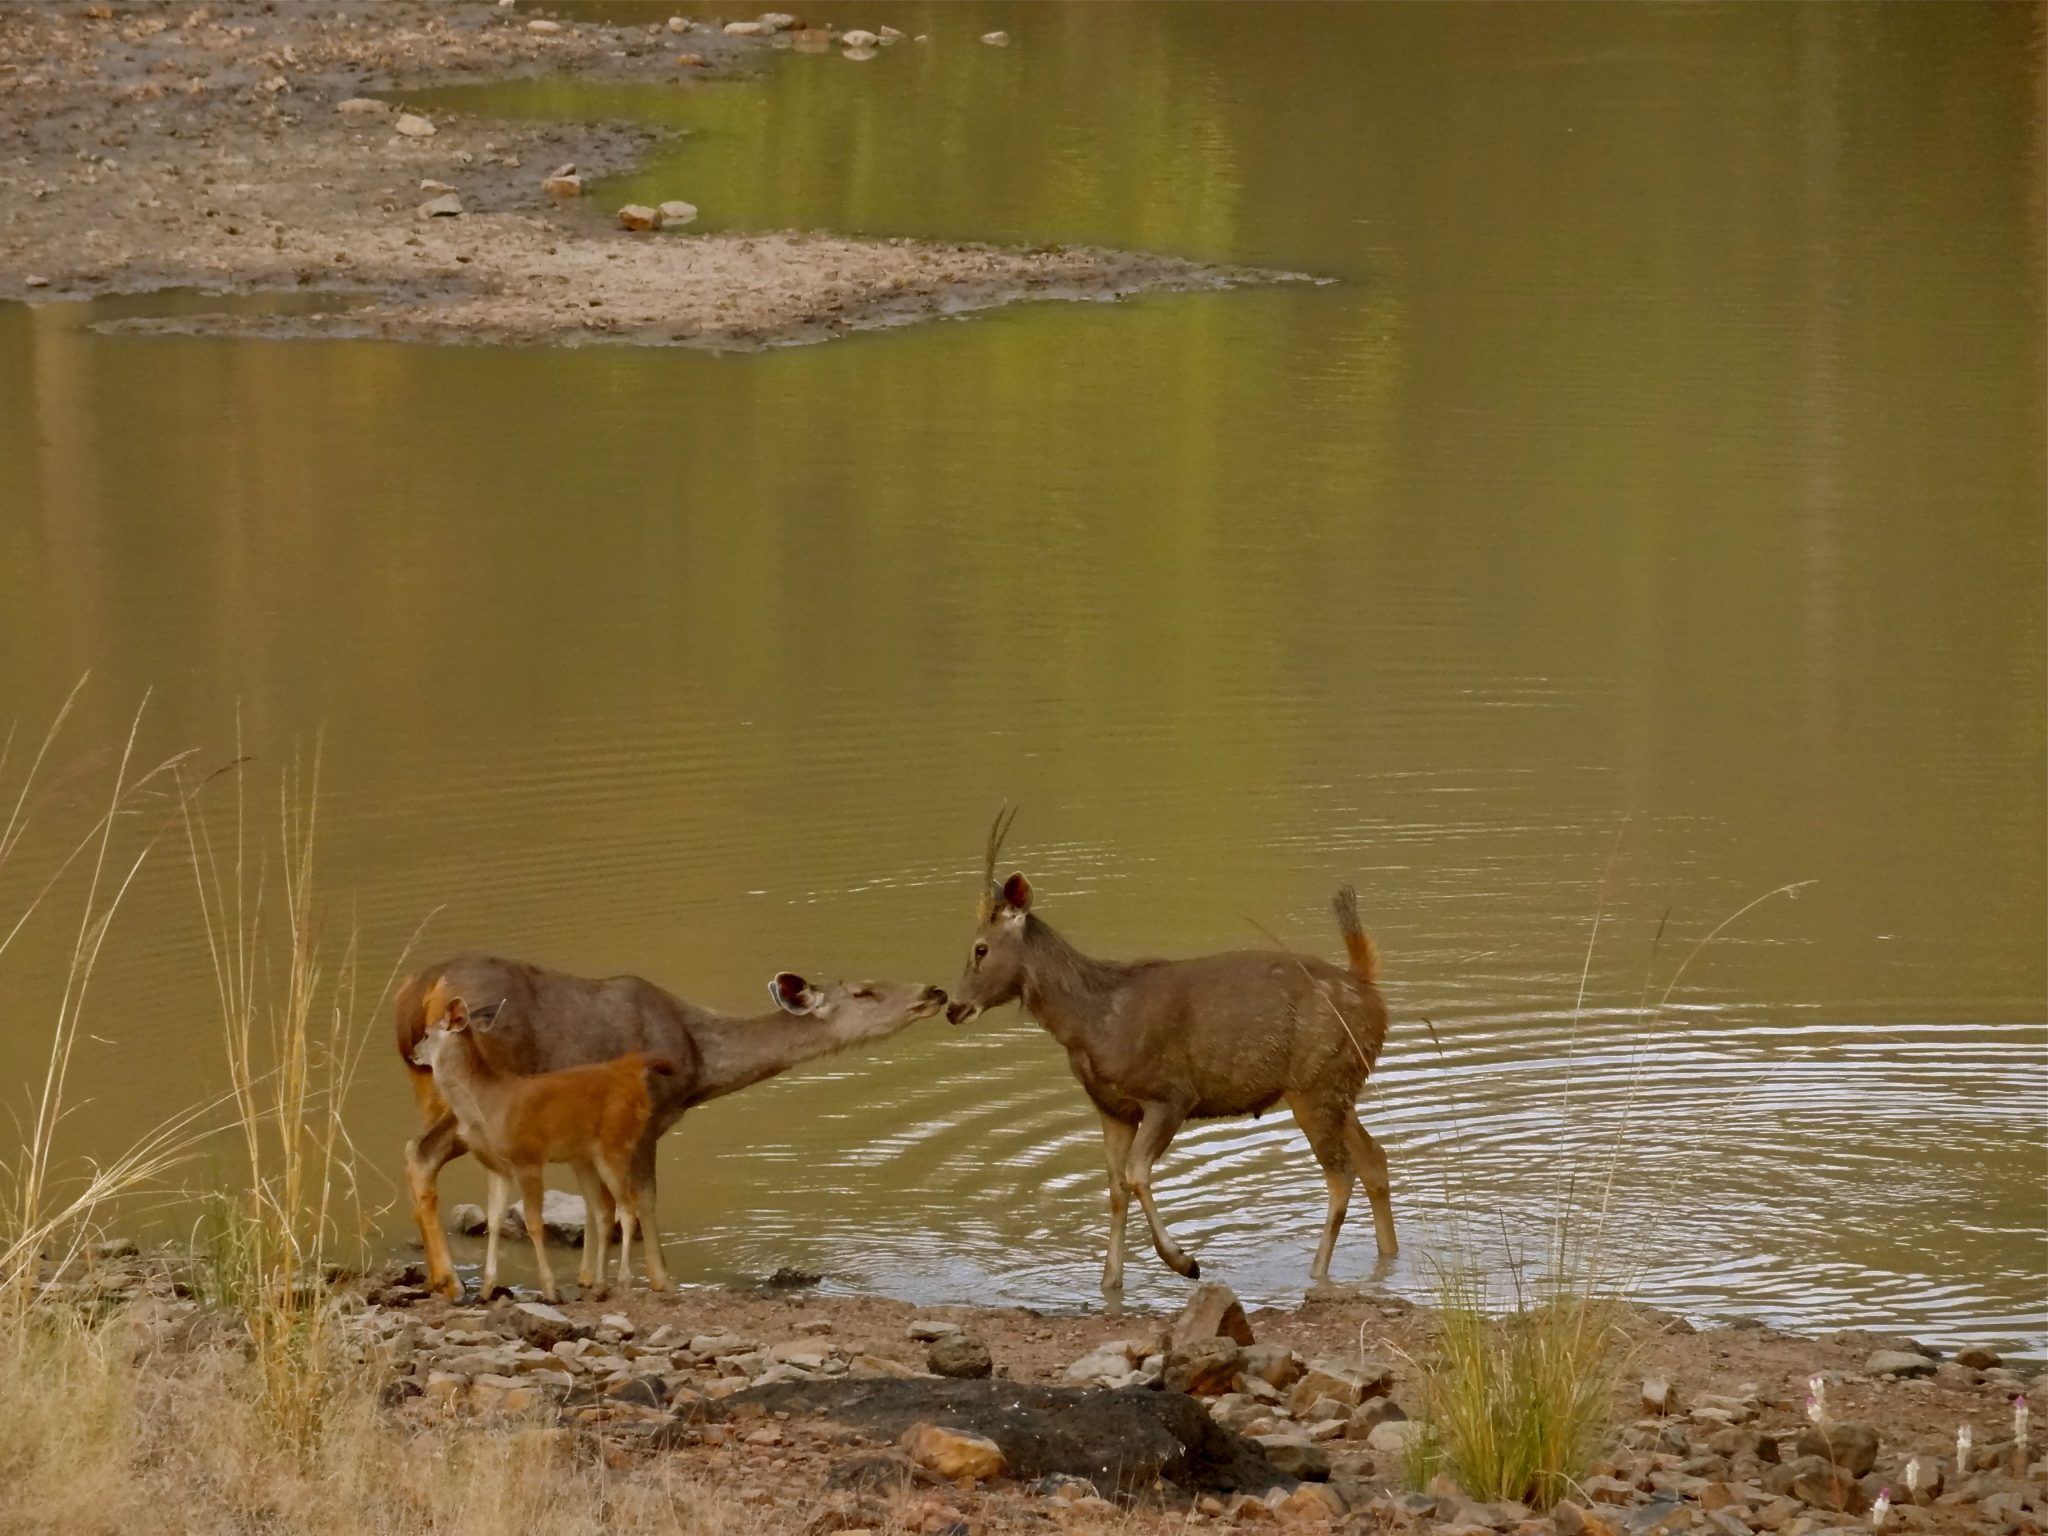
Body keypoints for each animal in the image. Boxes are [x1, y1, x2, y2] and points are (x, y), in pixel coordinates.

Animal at [399, 962, 950, 1302]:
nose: (935, 991)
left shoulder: (584, 1137)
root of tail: (420, 995)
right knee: (421, 1151)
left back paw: (442, 1279)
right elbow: (641, 1200)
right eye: (864, 991)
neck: (698, 1064)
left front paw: (591, 1280)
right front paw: (661, 1280)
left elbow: (598, 1206)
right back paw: (452, 1283)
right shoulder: (645, 1121)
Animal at [942, 819, 1392, 1302]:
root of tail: (1368, 988)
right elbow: (1116, 1188)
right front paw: (1110, 1282)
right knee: (1374, 1158)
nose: (953, 1007)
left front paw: (1185, 1262)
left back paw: (1316, 1274)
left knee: (1341, 1174)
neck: (1089, 1024)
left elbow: (1137, 1174)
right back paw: (1388, 1258)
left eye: (981, 949)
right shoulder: (1112, 1108)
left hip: (1316, 1084)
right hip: (1336, 1084)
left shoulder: (1171, 1095)